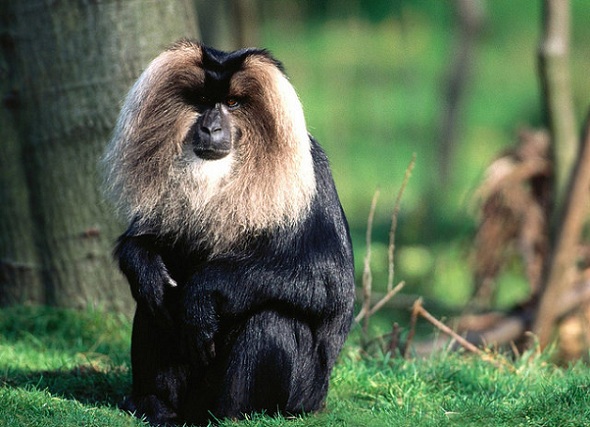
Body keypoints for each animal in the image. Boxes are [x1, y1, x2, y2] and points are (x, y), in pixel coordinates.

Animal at [103, 39, 356, 424]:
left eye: (233, 103)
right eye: (204, 101)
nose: (210, 128)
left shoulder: (313, 173)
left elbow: (332, 282)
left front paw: (203, 295)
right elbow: (142, 244)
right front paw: (143, 263)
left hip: (303, 396)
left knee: (270, 319)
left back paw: (229, 414)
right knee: (154, 300)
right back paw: (157, 405)